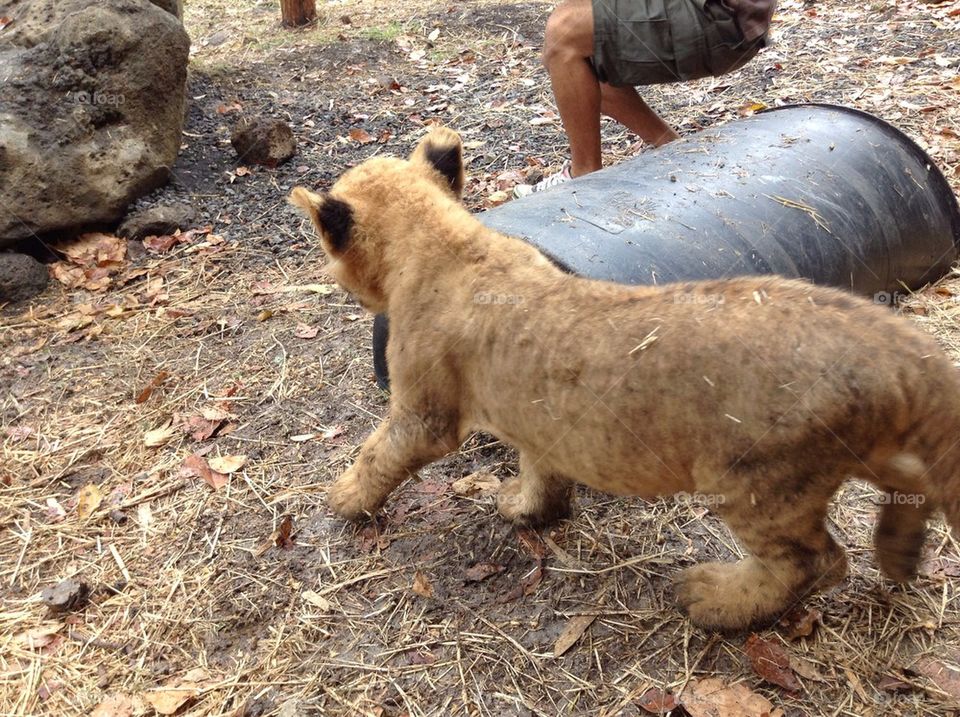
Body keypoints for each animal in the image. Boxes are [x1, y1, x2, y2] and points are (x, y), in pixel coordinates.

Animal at [290, 127, 960, 631]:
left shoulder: (424, 416)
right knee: (912, 484)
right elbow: (540, 470)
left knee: (814, 563)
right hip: (860, 451)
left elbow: (378, 453)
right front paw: (527, 509)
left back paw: (714, 600)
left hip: (759, 483)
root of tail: (892, 342)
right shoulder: (539, 418)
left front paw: (344, 499)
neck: (445, 243)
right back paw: (900, 557)